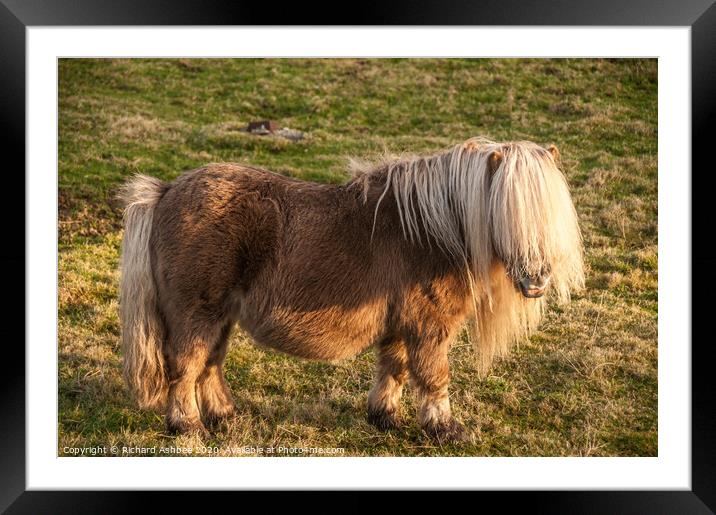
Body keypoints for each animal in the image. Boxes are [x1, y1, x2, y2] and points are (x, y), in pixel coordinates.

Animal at [120, 139, 584, 442]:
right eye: (505, 212)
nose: (538, 280)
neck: (433, 232)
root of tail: (165, 192)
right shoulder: (429, 325)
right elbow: (433, 375)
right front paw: (445, 429)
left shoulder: (401, 324)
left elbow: (395, 368)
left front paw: (386, 418)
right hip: (197, 313)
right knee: (186, 365)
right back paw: (188, 426)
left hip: (221, 316)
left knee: (210, 366)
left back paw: (226, 418)